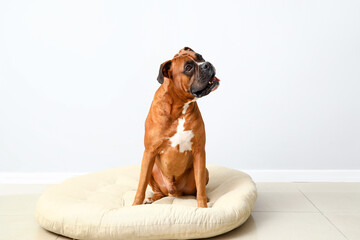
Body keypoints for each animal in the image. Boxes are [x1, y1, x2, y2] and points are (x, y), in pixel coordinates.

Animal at [132, 47, 219, 208]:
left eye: (200, 57)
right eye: (188, 67)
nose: (207, 64)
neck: (179, 108)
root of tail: (174, 193)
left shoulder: (199, 152)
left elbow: (201, 189)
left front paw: (203, 207)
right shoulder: (149, 152)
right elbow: (141, 186)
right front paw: (134, 206)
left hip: (204, 170)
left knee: (197, 188)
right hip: (151, 168)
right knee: (158, 192)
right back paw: (151, 198)